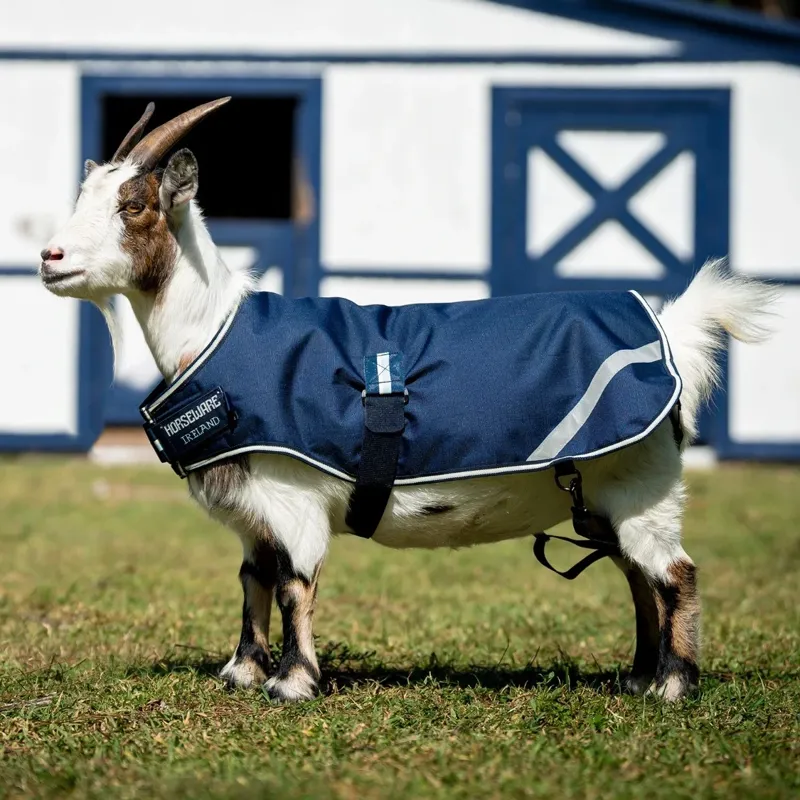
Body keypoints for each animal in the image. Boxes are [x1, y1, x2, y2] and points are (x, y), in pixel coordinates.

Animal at [40, 99, 776, 703]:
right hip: (607, 496)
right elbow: (253, 578)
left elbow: (293, 583)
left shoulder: (292, 495)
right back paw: (637, 677)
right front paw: (242, 671)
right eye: (84, 196)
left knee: (673, 574)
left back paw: (673, 686)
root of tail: (671, 333)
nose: (51, 257)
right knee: (635, 577)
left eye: (134, 206)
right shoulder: (254, 510)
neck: (213, 332)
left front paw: (293, 683)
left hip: (644, 484)